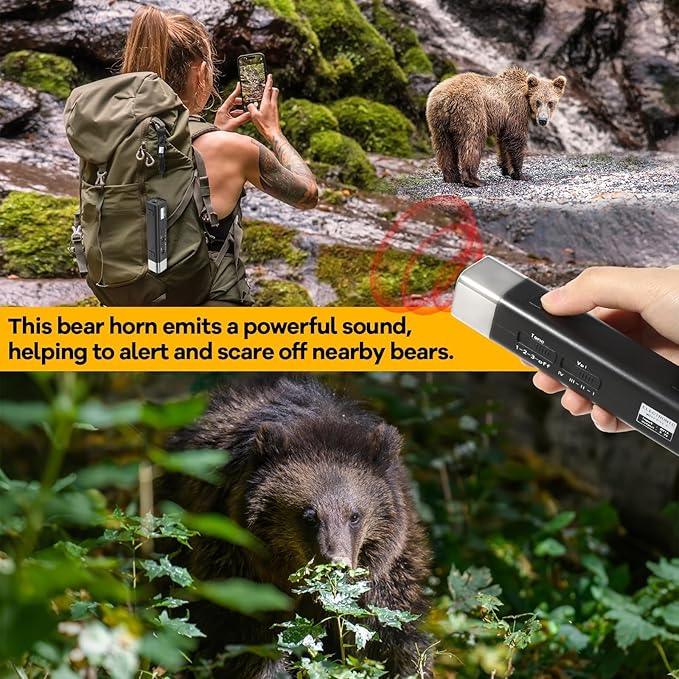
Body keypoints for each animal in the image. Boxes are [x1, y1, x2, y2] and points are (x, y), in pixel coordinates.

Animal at [165, 377, 432, 679]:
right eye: (309, 516)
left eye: (355, 515)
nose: (337, 564)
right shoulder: (235, 558)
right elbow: (244, 635)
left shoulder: (387, 567)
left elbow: (392, 626)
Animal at [426, 67, 567, 187]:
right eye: (538, 102)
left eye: (550, 102)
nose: (542, 120)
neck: (525, 95)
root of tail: (446, 100)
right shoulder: (516, 108)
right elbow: (516, 137)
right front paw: (521, 174)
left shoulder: (505, 119)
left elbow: (503, 141)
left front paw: (506, 169)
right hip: (470, 109)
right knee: (473, 140)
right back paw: (474, 180)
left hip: (437, 120)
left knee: (443, 146)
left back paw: (452, 177)